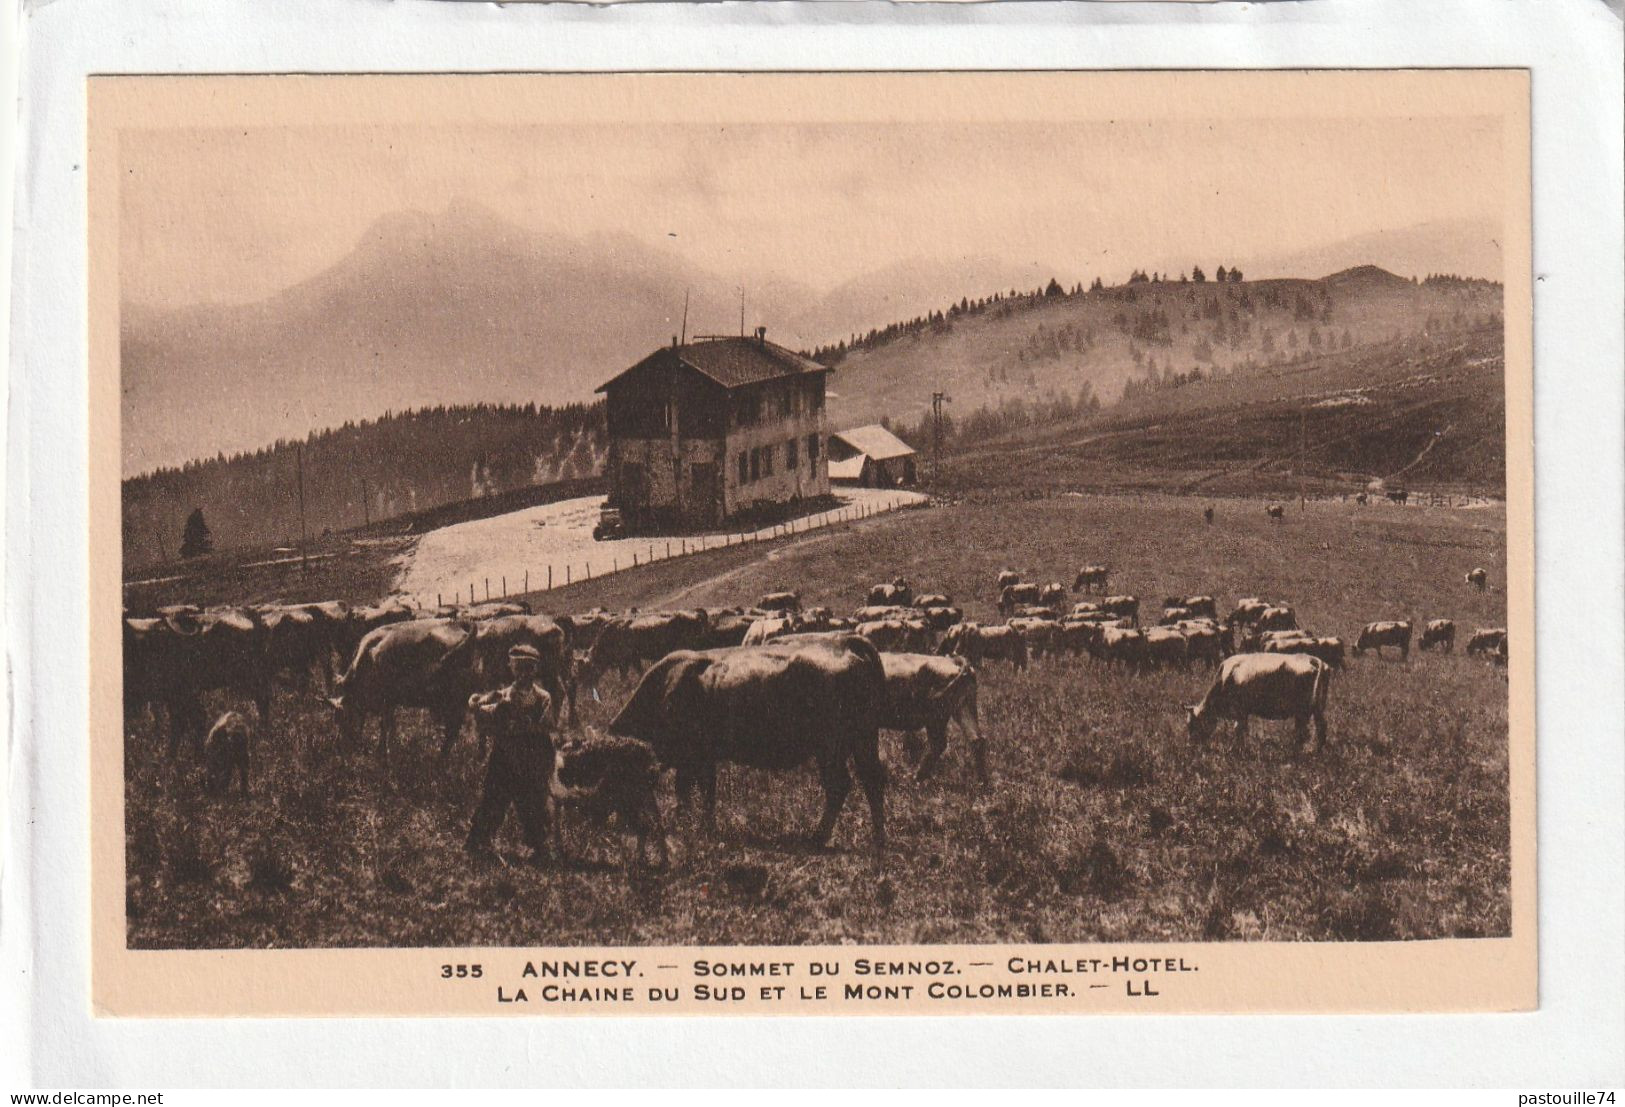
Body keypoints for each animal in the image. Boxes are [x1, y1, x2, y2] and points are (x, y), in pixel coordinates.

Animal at [326, 617, 477, 764]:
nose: (338, 747)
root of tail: (456, 624)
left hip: (454, 698)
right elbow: (388, 725)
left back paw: (441, 759)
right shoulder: (390, 702)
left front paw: (385, 755)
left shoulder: (386, 700)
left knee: (453, 729)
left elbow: (386, 725)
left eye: (343, 717)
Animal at [607, 633, 890, 851]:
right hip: (863, 740)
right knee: (872, 781)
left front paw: (692, 825)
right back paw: (878, 838)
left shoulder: (691, 758)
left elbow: (688, 791)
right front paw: (703, 825)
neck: (666, 686)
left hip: (830, 748)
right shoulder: (703, 759)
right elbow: (704, 792)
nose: (615, 824)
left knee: (839, 785)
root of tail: (845, 642)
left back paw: (816, 838)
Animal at [1183, 656, 1332, 751]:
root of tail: (1314, 660)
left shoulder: (1240, 710)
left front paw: (1235, 749)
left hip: (1303, 710)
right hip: (1317, 709)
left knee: (1303, 732)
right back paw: (1317, 750)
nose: (1190, 745)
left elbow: (1239, 729)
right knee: (1320, 727)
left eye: (1192, 724)